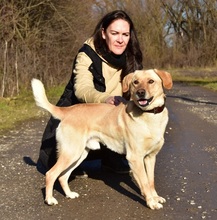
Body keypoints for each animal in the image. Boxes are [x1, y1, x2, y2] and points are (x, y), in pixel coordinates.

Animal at [31, 69, 173, 210]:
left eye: (151, 81)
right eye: (136, 82)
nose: (140, 93)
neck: (149, 115)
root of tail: (68, 111)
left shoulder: (150, 157)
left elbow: (151, 181)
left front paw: (155, 197)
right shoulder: (135, 158)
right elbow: (144, 182)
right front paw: (151, 202)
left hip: (79, 154)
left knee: (62, 176)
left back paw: (69, 194)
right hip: (71, 153)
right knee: (51, 174)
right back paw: (49, 199)